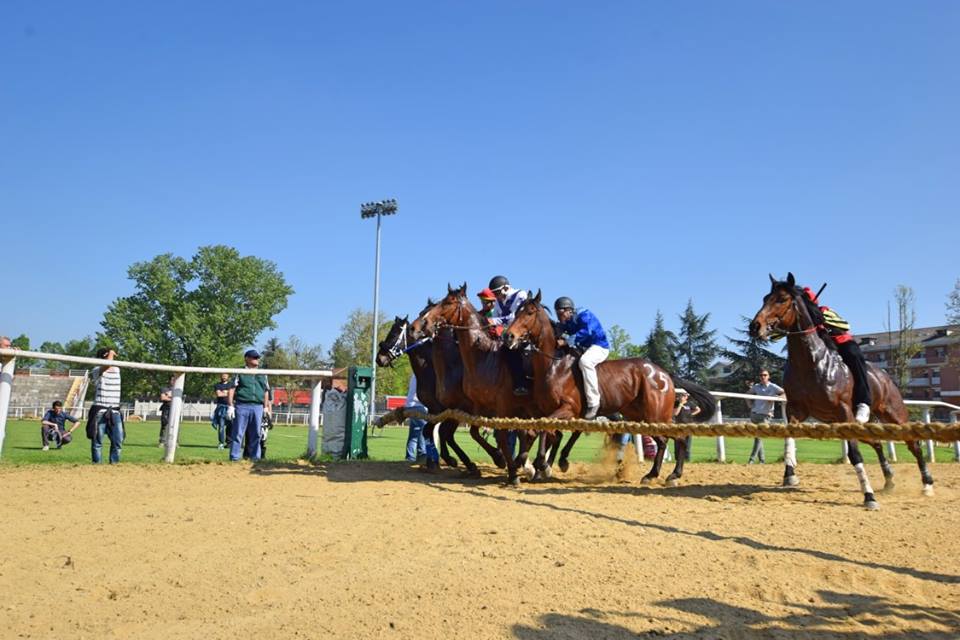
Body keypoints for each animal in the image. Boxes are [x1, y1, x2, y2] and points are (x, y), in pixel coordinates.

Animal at [376, 304, 506, 476]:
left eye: (394, 334)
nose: (379, 358)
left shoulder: (455, 409)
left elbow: (445, 433)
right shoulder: (437, 410)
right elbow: (432, 432)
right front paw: (442, 460)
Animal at [408, 284, 552, 484]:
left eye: (448, 302)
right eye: (423, 311)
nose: (414, 328)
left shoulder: (487, 407)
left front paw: (503, 465)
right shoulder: (471, 407)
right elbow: (465, 433)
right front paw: (497, 460)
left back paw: (538, 466)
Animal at [506, 290, 716, 484]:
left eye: (529, 312)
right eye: (517, 312)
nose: (509, 336)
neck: (554, 365)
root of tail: (664, 373)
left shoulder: (568, 409)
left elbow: (546, 430)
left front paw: (542, 463)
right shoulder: (546, 411)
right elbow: (542, 430)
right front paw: (534, 463)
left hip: (656, 415)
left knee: (677, 437)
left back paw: (672, 475)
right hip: (640, 415)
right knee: (665, 440)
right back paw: (653, 475)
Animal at [748, 272, 932, 510]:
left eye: (781, 299)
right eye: (765, 298)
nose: (755, 326)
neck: (811, 363)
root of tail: (886, 378)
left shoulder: (843, 411)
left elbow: (854, 454)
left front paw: (869, 496)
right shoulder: (796, 410)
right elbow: (789, 437)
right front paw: (790, 474)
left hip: (892, 415)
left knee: (914, 444)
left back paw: (927, 484)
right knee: (877, 443)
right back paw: (889, 480)